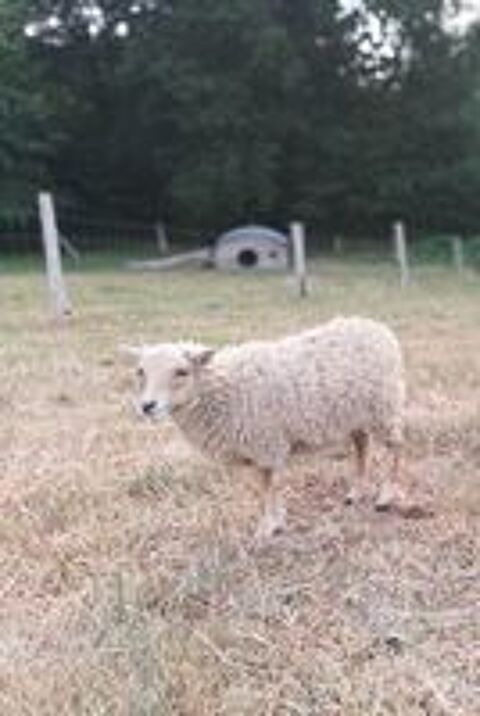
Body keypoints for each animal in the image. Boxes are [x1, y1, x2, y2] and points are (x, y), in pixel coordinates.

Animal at [124, 317, 405, 540]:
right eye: (140, 371)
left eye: (181, 371)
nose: (147, 406)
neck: (222, 389)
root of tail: (374, 326)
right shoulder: (256, 449)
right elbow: (264, 488)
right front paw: (275, 521)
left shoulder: (267, 444)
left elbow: (269, 488)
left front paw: (268, 528)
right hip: (354, 413)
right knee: (362, 445)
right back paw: (355, 493)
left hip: (383, 407)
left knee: (395, 446)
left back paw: (385, 496)